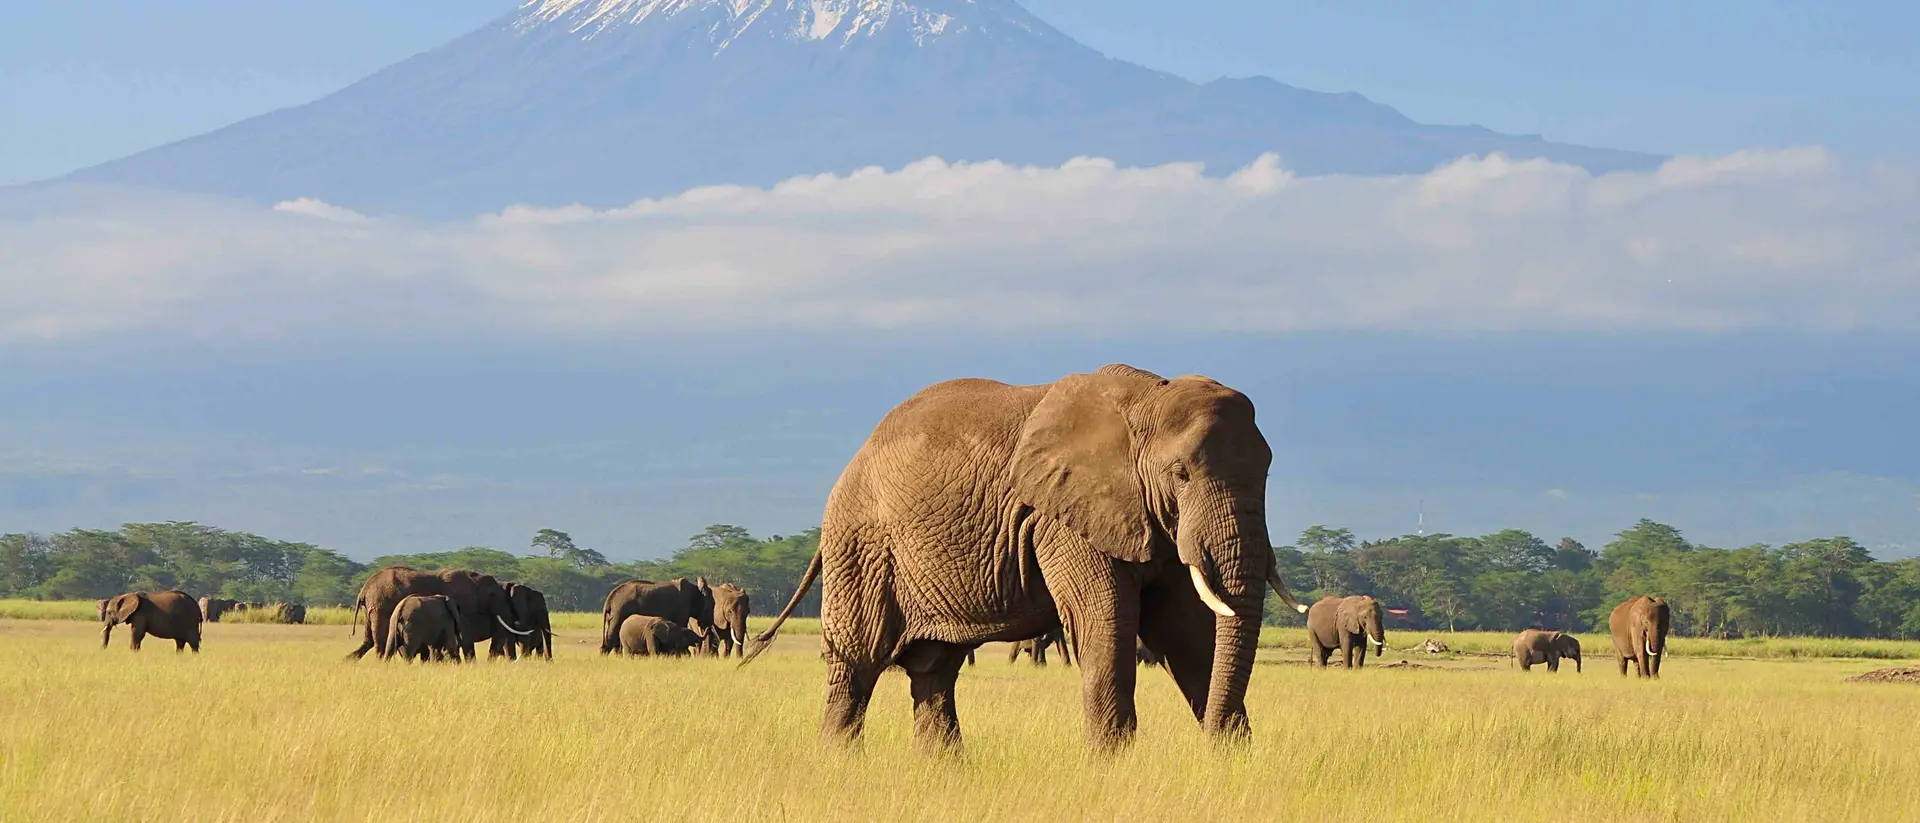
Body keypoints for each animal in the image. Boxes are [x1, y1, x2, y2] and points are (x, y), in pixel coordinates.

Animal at [347, 567, 536, 661]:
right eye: (492, 595)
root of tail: (364, 590)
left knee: (369, 641)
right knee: (379, 642)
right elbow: (466, 637)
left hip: (373, 609)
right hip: (381, 607)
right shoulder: (463, 607)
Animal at [743, 364, 1314, 753]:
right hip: (863, 546)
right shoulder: (1062, 519)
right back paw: (840, 765)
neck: (1149, 397)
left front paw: (1230, 758)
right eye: (1180, 473)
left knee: (933, 673)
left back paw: (947, 775)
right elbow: (1106, 622)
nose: (1214, 741)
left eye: (1266, 471)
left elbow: (1189, 630)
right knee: (856, 667)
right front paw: (1113, 767)